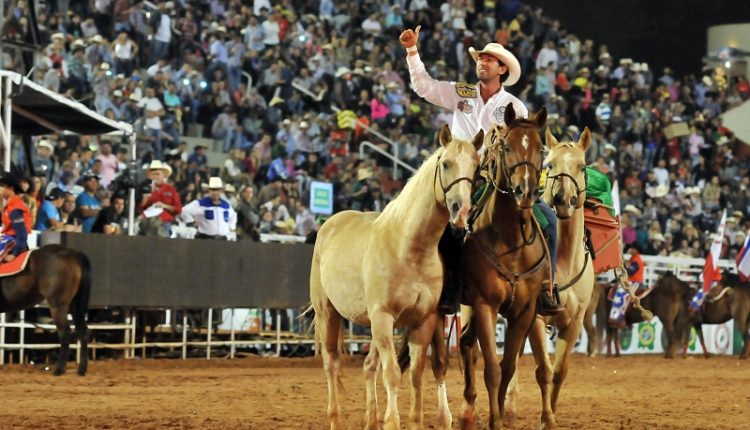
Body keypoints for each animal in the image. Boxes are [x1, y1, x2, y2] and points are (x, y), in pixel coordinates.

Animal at [0, 245, 92, 376]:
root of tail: (73, 253)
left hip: (57, 305)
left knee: (65, 332)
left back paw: (59, 370)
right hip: (74, 306)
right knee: (83, 331)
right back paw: (81, 370)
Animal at [310, 126, 482, 430]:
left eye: (476, 166)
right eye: (445, 163)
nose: (460, 210)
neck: (409, 247)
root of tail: (329, 224)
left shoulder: (423, 320)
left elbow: (416, 373)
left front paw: (414, 420)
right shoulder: (383, 316)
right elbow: (391, 373)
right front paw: (392, 421)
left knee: (368, 366)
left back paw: (371, 419)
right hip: (327, 313)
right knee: (332, 363)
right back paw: (336, 418)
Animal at [458, 105, 552, 430]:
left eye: (540, 148)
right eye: (508, 147)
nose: (525, 191)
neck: (511, 240)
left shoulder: (524, 312)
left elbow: (508, 367)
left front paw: (498, 414)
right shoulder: (485, 305)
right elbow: (492, 370)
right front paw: (495, 420)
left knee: (466, 343)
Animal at [524, 126, 600, 422]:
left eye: (582, 166)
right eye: (549, 165)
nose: (563, 200)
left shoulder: (575, 321)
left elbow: (559, 372)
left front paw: (551, 416)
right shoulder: (535, 318)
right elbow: (542, 371)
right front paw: (546, 419)